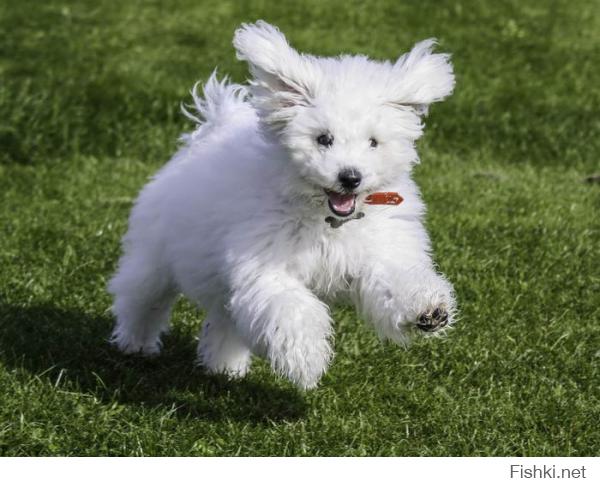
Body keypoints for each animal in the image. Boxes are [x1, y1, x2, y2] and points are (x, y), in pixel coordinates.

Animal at [109, 21, 454, 388]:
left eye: (373, 142)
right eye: (323, 139)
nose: (350, 177)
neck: (327, 219)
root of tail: (211, 129)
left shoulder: (378, 250)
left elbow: (394, 279)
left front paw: (428, 310)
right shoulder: (263, 265)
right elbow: (290, 308)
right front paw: (308, 359)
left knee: (226, 320)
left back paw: (225, 367)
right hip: (154, 257)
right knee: (141, 296)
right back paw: (135, 343)